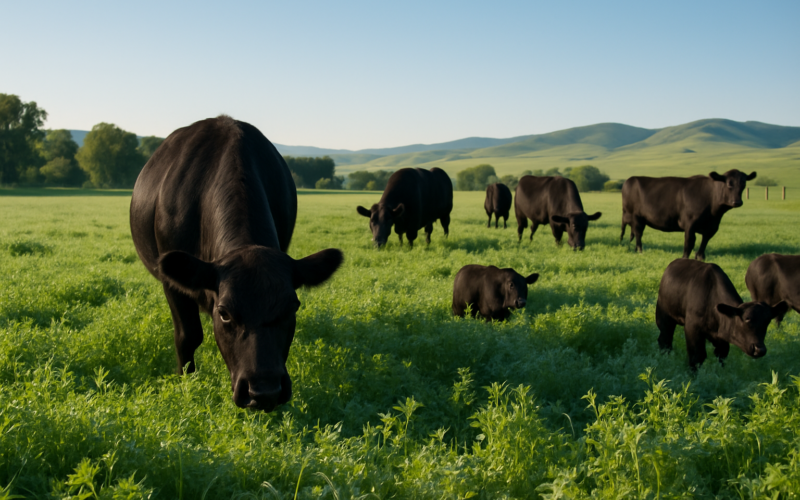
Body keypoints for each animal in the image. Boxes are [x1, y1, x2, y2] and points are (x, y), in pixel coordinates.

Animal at [130, 116, 343, 411]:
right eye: (225, 313)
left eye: (292, 308)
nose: (264, 392)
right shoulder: (172, 283)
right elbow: (187, 336)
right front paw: (185, 383)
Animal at [621, 170, 757, 260]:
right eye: (729, 183)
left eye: (743, 184)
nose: (737, 202)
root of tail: (630, 179)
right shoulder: (690, 223)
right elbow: (689, 241)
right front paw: (685, 257)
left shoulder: (711, 227)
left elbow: (704, 241)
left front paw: (700, 257)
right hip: (635, 216)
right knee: (638, 233)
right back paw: (640, 250)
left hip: (641, 219)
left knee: (637, 232)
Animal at [656, 259, 787, 369]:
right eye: (746, 319)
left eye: (767, 321)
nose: (760, 350)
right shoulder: (692, 329)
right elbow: (697, 357)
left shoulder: (721, 339)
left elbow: (721, 356)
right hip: (664, 317)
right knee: (665, 339)